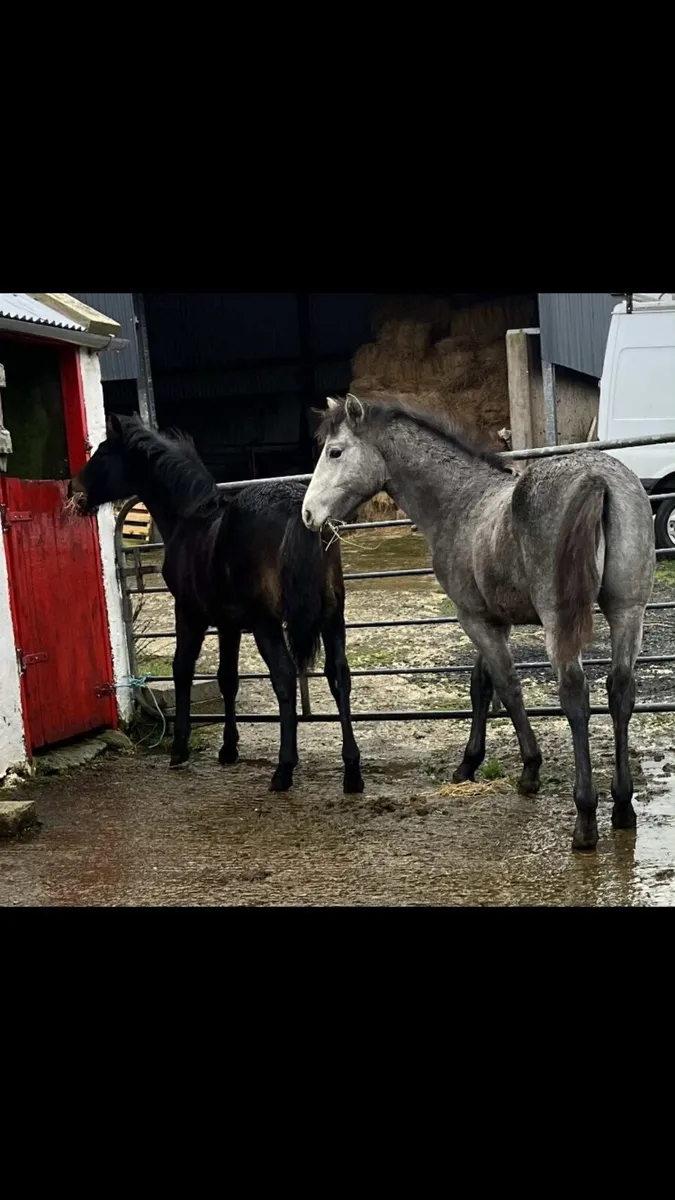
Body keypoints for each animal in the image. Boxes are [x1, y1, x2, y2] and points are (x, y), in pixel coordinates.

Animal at [70, 413, 363, 795]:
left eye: (103, 452)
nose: (72, 488)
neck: (189, 520)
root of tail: (299, 513)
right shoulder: (228, 624)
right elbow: (228, 678)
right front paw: (228, 748)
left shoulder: (189, 613)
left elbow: (182, 669)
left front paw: (179, 749)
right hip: (332, 617)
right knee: (339, 675)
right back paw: (352, 772)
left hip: (267, 624)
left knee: (284, 678)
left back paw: (284, 770)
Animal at [302, 392, 655, 851]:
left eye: (335, 452)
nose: (308, 514)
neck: (461, 501)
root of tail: (597, 478)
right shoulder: (492, 621)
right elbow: (481, 685)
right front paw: (470, 763)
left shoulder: (473, 619)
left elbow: (506, 687)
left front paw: (529, 770)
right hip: (628, 612)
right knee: (620, 693)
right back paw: (623, 807)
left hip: (560, 621)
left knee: (575, 697)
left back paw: (585, 819)